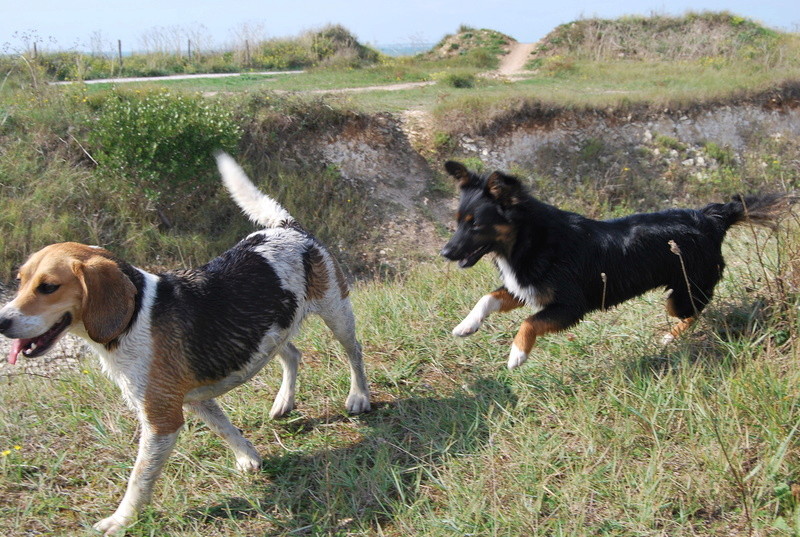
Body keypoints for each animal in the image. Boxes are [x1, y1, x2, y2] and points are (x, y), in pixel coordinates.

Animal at [0, 153, 370, 532]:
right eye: (20, 280)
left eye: (48, 287)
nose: (2, 321)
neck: (134, 316)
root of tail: (286, 227)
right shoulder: (194, 400)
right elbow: (225, 429)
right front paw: (248, 457)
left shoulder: (160, 421)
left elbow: (139, 479)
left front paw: (121, 520)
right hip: (274, 330)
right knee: (294, 354)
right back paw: (284, 401)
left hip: (337, 313)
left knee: (354, 354)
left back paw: (359, 396)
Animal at [440, 159, 792, 368]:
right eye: (457, 222)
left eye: (475, 225)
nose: (445, 252)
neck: (528, 240)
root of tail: (712, 218)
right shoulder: (527, 288)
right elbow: (488, 298)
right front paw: (466, 325)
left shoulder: (570, 306)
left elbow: (529, 323)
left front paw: (517, 354)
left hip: (683, 293)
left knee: (693, 312)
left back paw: (670, 338)